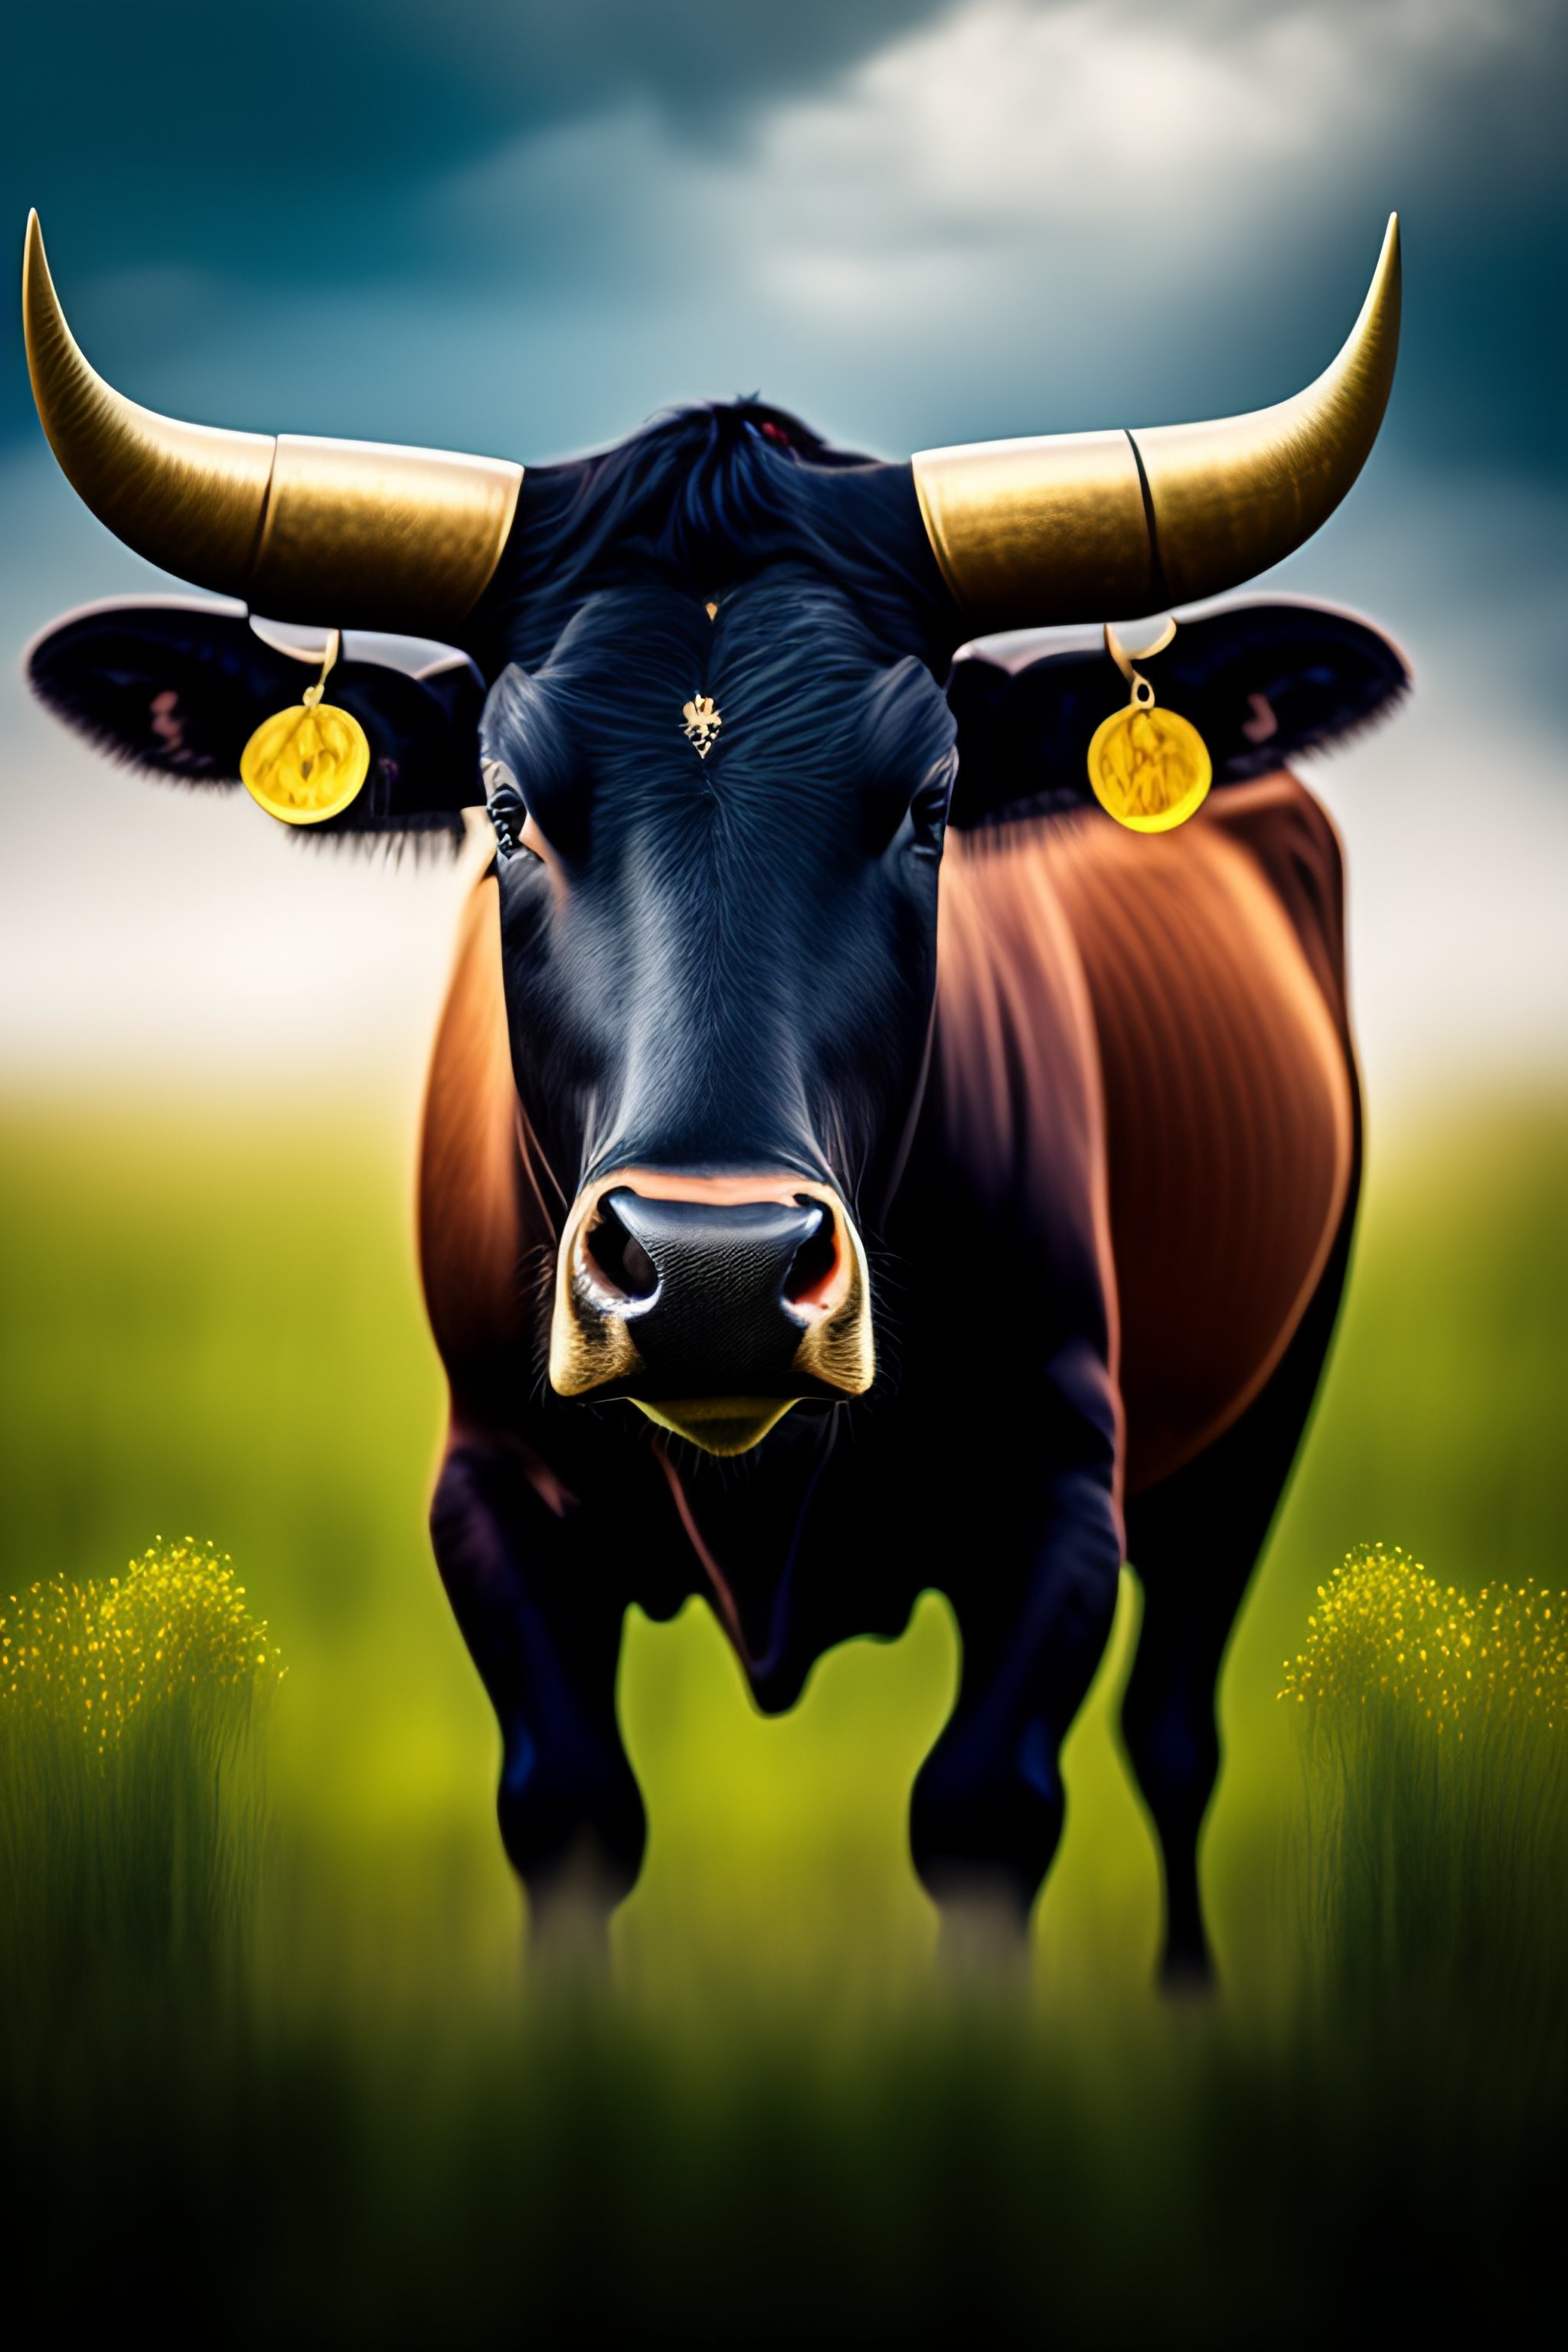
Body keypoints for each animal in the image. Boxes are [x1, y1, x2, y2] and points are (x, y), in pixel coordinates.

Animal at [20, 211, 1406, 1979]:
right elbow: (568, 1809)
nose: (717, 1278)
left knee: (1175, 1738)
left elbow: (984, 1812)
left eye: (932, 800)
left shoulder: (1057, 1489)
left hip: (1262, 1410)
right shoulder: (489, 1489)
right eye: (504, 805)